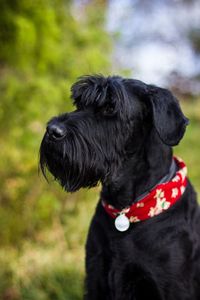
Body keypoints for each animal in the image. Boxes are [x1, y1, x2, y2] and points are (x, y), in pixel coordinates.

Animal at [39, 75, 200, 300]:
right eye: (79, 103)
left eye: (109, 108)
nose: (52, 130)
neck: (128, 209)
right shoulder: (96, 276)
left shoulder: (173, 287)